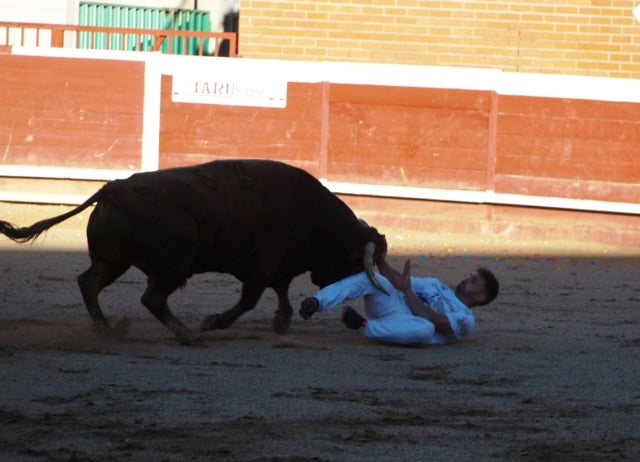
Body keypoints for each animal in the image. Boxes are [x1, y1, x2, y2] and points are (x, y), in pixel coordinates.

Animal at [0, 159, 384, 342]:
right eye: (357, 263)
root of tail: (113, 189)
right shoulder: (264, 261)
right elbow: (252, 298)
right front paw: (213, 322)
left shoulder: (279, 264)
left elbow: (281, 291)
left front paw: (282, 321)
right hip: (173, 264)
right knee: (152, 298)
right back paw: (186, 334)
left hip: (113, 260)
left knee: (89, 283)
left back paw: (108, 330)